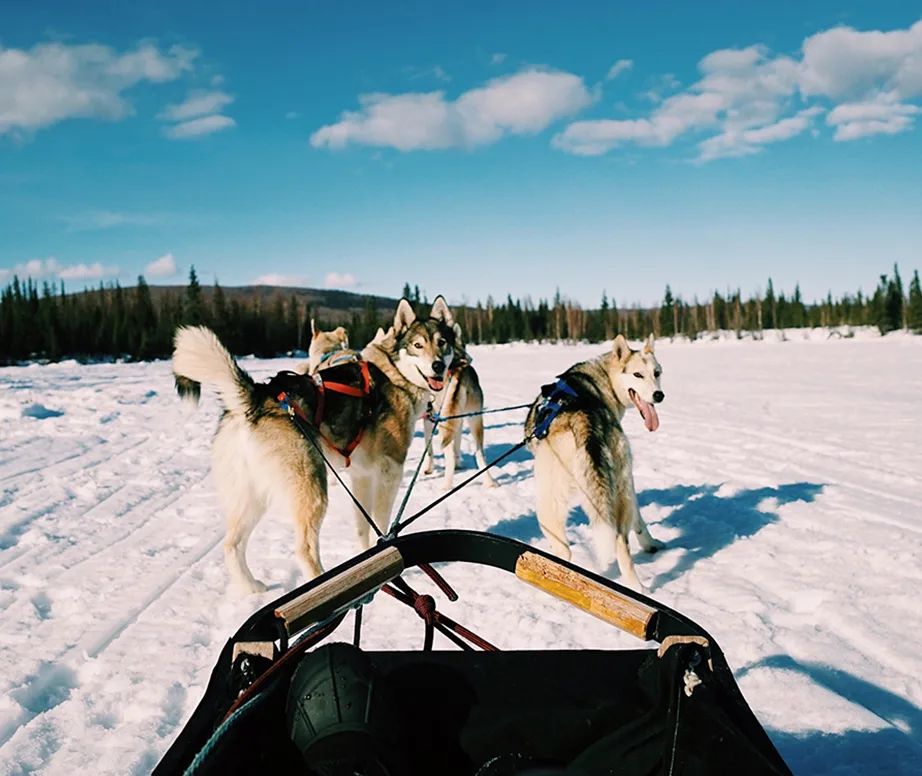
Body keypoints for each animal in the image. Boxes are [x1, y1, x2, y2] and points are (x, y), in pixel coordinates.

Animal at [171, 298, 458, 596]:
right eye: (417, 345)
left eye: (442, 343)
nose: (438, 366)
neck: (394, 372)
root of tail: (256, 399)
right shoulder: (390, 471)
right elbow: (380, 524)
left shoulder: (362, 476)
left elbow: (362, 528)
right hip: (312, 490)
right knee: (304, 550)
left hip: (253, 497)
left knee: (232, 545)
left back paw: (252, 588)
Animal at [422, 324, 496, 488]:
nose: (470, 359)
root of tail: (459, 371)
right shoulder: (456, 420)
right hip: (474, 418)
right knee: (479, 453)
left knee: (450, 455)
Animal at [524, 330, 660, 592]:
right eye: (638, 374)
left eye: (656, 373)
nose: (659, 395)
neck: (601, 379)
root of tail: (583, 420)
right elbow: (638, 518)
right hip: (618, 489)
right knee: (620, 539)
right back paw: (637, 588)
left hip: (548, 505)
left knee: (564, 553)